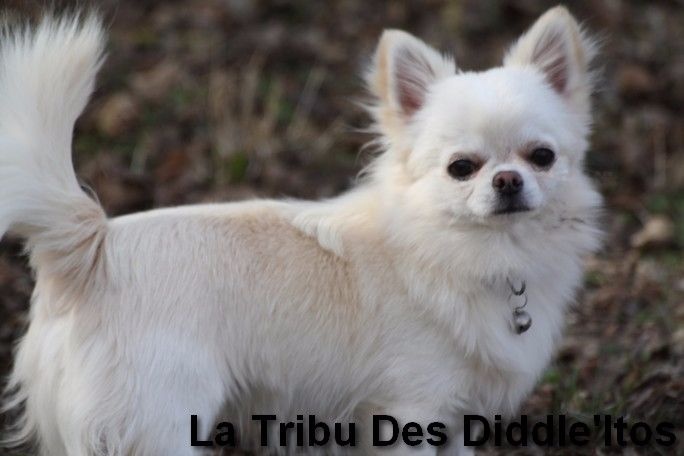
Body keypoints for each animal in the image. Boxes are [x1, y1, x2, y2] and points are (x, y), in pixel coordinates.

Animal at [1, 6, 601, 455]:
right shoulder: (408, 412)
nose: (507, 179)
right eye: (461, 168)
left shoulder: (453, 420)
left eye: (542, 157)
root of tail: (94, 250)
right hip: (162, 423)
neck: (481, 252)